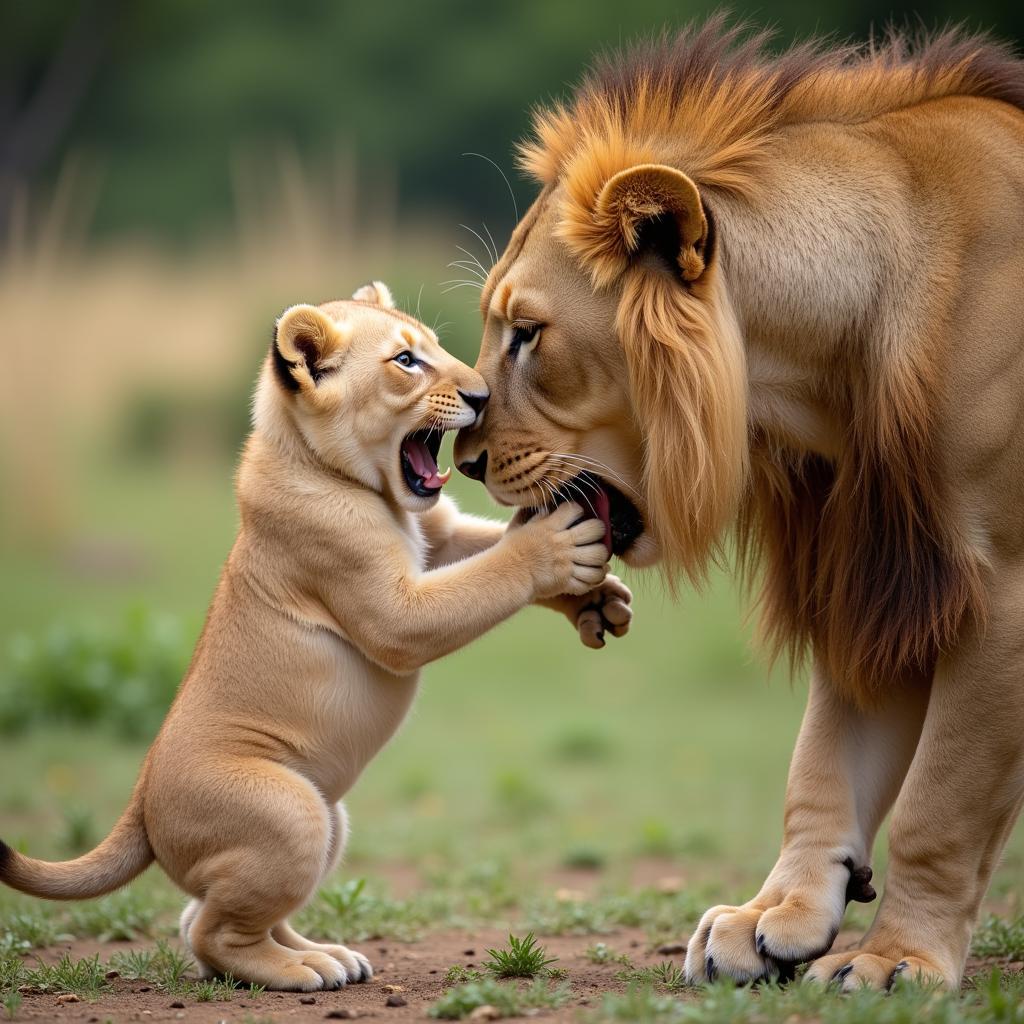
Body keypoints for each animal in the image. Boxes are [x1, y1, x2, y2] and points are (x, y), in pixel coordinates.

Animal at [454, 19, 1024, 987]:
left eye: (528, 335)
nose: (461, 458)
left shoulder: (1004, 589)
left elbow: (938, 805)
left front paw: (895, 960)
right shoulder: (874, 572)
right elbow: (824, 763)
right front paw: (775, 918)